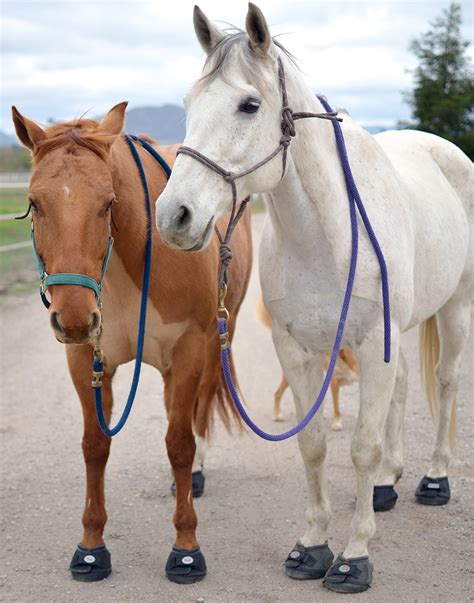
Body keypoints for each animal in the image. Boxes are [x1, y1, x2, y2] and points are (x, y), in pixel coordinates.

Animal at [11, 102, 252, 584]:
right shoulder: (86, 358)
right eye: (33, 203)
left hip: (217, 338)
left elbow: (180, 444)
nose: (74, 317)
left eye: (108, 203)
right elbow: (95, 446)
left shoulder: (189, 351)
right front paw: (90, 547)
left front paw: (186, 548)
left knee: (197, 412)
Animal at [156, 1, 474, 596]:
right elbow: (314, 445)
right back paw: (388, 485)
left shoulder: (371, 345)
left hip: (455, 310)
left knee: (444, 382)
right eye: (188, 103)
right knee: (401, 393)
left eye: (249, 104)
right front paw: (313, 546)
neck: (328, 234)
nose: (174, 216)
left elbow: (361, 447)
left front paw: (353, 556)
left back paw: (434, 478)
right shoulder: (298, 350)